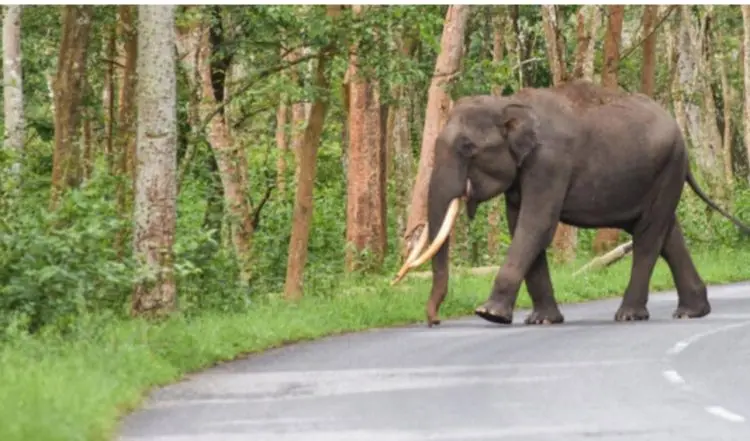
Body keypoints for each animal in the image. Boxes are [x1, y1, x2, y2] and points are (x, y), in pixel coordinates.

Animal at [392, 79, 750, 328]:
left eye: (467, 147)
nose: (434, 320)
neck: (509, 103)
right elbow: (521, 225)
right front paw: (541, 320)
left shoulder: (550, 162)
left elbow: (537, 224)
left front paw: (488, 313)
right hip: (659, 175)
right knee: (666, 232)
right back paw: (692, 312)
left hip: (668, 168)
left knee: (649, 235)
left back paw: (629, 315)